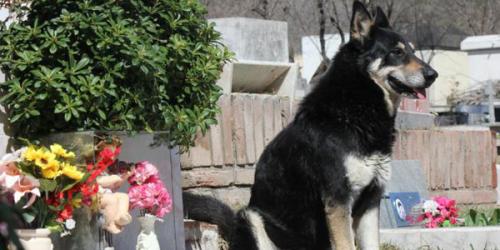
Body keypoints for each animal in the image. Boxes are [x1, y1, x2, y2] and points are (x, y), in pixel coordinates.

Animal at [184, 0, 438, 249]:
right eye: (397, 52)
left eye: (412, 51)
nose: (433, 75)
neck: (356, 108)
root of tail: (233, 230)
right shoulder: (338, 199)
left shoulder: (371, 200)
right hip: (252, 217)